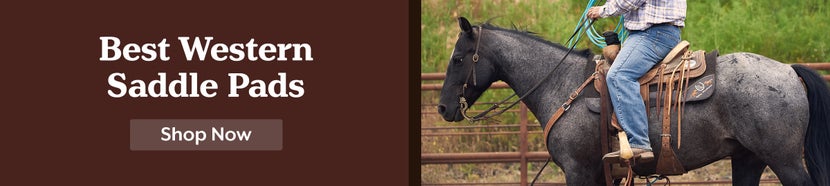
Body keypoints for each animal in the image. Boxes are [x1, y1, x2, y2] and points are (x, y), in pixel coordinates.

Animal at [436, 16, 830, 185]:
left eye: (458, 59)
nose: (442, 108)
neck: (561, 85)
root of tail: (789, 71)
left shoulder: (579, 170)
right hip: (748, 159)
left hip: (784, 160)